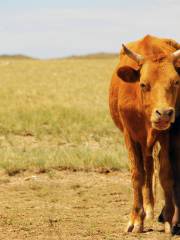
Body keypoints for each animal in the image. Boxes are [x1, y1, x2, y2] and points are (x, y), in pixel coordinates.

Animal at [108, 35, 180, 234]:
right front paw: (136, 219)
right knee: (146, 169)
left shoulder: (167, 135)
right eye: (143, 84)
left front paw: (169, 219)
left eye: (176, 82)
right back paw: (147, 209)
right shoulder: (129, 135)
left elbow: (165, 172)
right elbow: (137, 175)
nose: (164, 113)